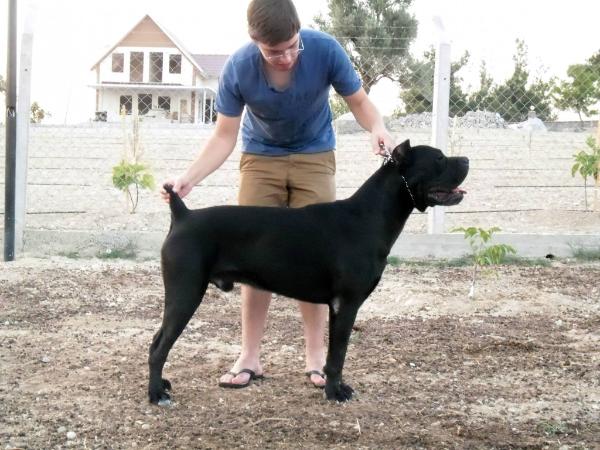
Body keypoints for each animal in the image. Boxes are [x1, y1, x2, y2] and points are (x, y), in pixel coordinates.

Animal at [149, 139, 468, 402]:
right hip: (186, 293)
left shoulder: (336, 307)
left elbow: (332, 354)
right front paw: (335, 393)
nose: (466, 159)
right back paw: (156, 395)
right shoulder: (347, 304)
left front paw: (333, 386)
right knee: (159, 347)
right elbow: (339, 354)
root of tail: (183, 215)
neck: (369, 216)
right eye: (439, 158)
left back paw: (162, 386)